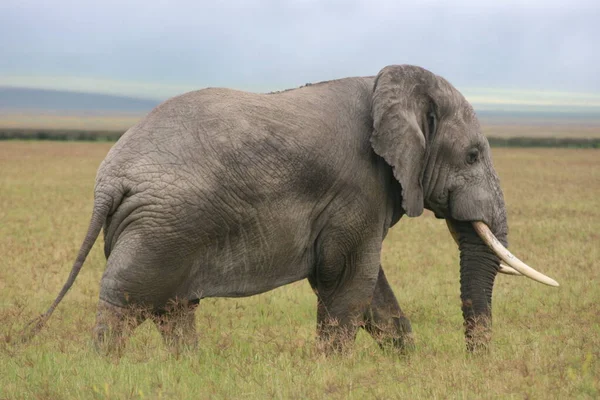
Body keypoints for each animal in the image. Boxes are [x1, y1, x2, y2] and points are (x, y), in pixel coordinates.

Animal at [24, 65, 556, 354]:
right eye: (473, 155)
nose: (475, 361)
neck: (385, 84)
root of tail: (109, 180)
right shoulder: (358, 186)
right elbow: (348, 280)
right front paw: (333, 371)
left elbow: (370, 290)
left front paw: (407, 366)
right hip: (162, 227)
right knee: (126, 300)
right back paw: (105, 366)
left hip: (162, 229)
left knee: (172, 309)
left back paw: (190, 369)